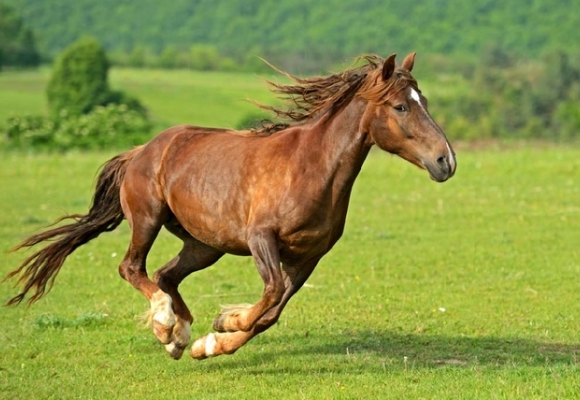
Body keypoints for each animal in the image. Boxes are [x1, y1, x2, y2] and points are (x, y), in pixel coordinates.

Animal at [5, 52, 458, 360]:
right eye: (401, 106)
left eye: (424, 101)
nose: (446, 161)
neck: (311, 167)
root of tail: (141, 150)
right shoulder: (261, 238)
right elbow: (270, 295)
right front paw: (225, 323)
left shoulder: (309, 256)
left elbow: (272, 312)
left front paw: (212, 340)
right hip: (148, 219)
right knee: (132, 268)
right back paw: (165, 324)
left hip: (205, 245)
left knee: (166, 275)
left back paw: (179, 337)